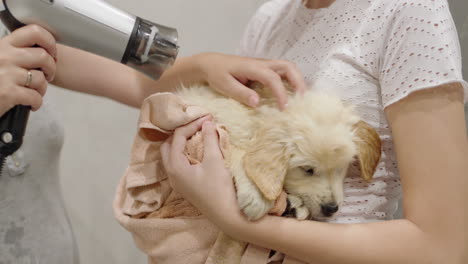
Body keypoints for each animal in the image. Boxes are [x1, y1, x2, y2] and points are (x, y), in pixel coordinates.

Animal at [176, 82, 380, 221]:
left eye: (341, 167)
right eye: (307, 169)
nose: (331, 208)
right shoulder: (217, 122)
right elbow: (240, 152)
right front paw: (256, 194)